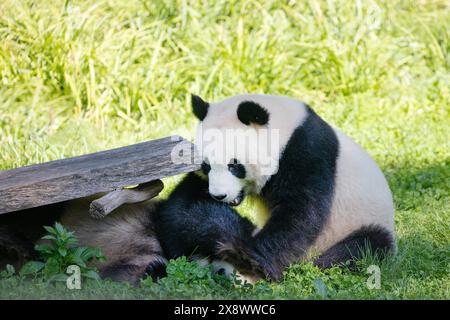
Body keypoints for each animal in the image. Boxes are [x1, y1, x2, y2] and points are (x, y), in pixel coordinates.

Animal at [192, 94, 396, 282]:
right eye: (206, 166)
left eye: (234, 165)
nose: (218, 195)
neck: (286, 130)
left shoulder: (307, 152)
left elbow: (301, 214)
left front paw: (250, 259)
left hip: (360, 223)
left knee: (363, 247)